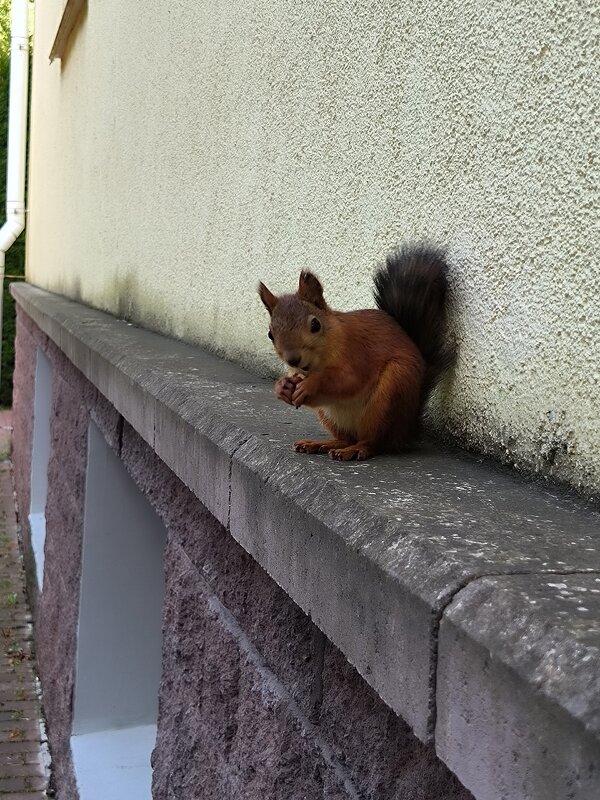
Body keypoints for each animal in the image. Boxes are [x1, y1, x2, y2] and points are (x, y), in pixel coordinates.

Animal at [258, 242, 450, 462]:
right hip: (331, 417)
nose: (293, 359)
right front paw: (282, 387)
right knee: (346, 438)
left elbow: (348, 381)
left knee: (373, 442)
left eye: (315, 325)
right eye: (270, 334)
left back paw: (356, 449)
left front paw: (310, 385)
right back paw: (322, 444)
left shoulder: (358, 354)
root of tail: (407, 431)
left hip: (390, 396)